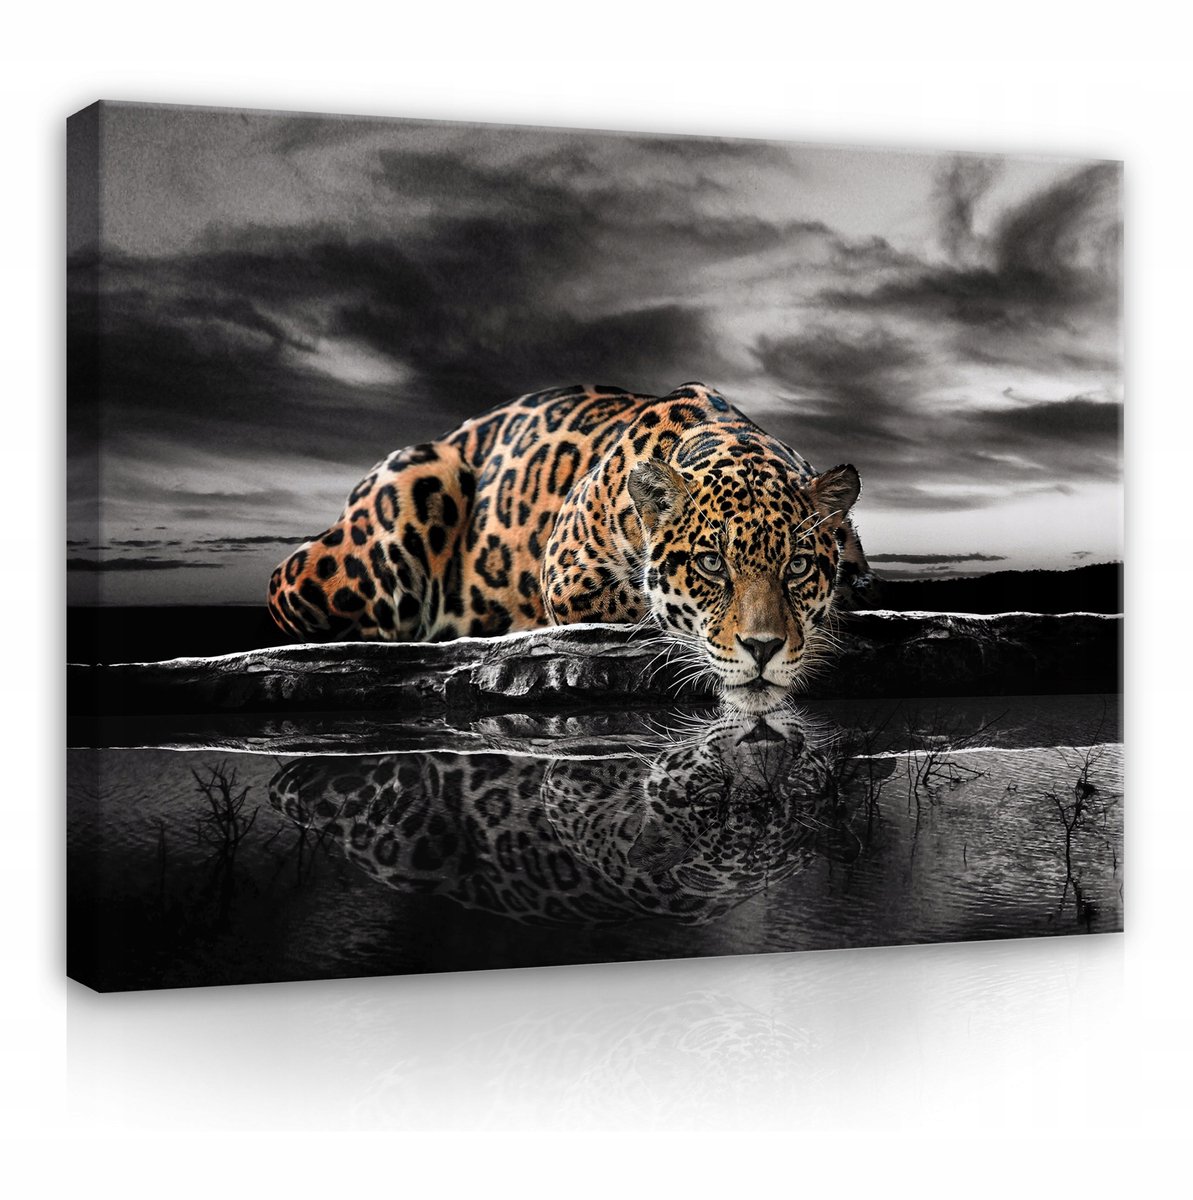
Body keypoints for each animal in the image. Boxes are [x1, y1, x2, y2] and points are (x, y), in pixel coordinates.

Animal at [268, 382, 875, 714]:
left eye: (797, 566)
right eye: (710, 564)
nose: (764, 649)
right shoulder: (567, 575)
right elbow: (644, 605)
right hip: (401, 498)